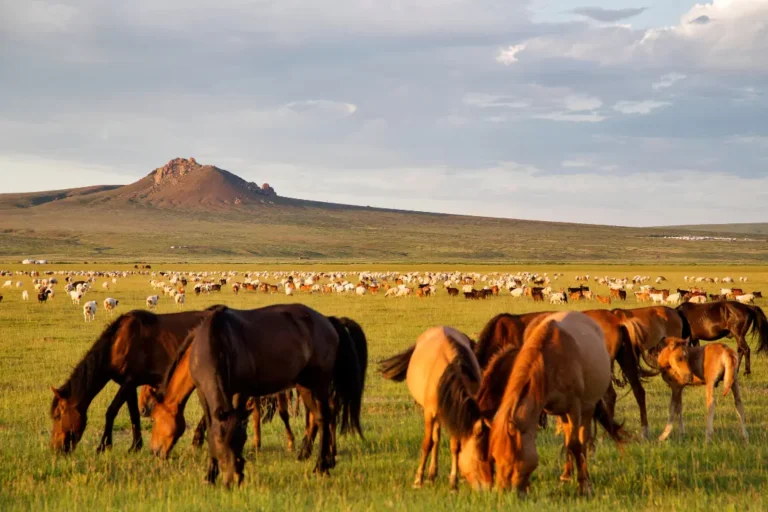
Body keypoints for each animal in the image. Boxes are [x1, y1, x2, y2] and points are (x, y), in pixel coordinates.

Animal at [49, 308, 212, 452]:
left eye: (58, 416)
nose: (55, 449)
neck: (117, 344)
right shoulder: (129, 385)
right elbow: (134, 414)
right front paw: (135, 446)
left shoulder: (129, 382)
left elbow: (111, 411)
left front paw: (103, 446)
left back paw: (197, 441)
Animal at [188, 306, 364, 486]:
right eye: (219, 442)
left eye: (241, 440)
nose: (233, 478)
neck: (218, 341)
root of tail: (327, 320)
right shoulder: (202, 392)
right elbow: (211, 425)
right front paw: (210, 475)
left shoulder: (241, 392)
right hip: (304, 386)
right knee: (319, 417)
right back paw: (324, 463)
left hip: (320, 383)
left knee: (324, 418)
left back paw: (321, 465)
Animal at [380, 326, 480, 490]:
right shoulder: (429, 413)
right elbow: (427, 443)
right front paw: (418, 479)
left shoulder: (455, 416)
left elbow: (455, 446)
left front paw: (453, 482)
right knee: (435, 439)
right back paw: (430, 475)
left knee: (437, 438)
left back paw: (433, 473)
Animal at [438, 312, 624, 496]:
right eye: (494, 456)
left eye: (512, 459)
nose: (501, 491)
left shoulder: (574, 408)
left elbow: (576, 445)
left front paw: (584, 486)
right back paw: (566, 474)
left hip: (586, 407)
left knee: (582, 437)